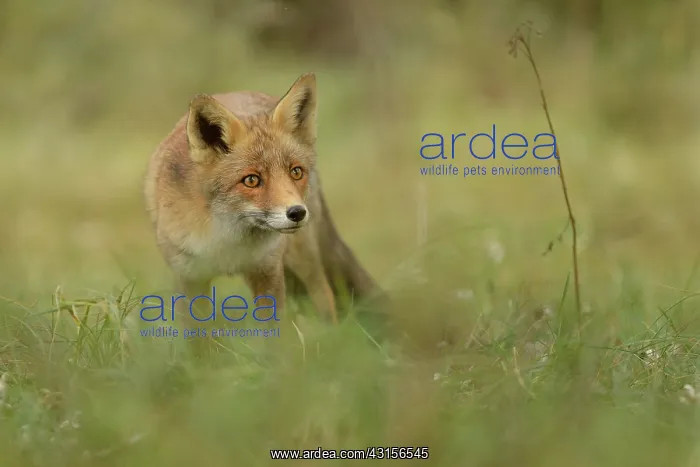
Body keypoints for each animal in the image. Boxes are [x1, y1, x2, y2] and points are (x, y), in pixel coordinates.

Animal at [143, 72, 382, 325]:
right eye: (251, 180)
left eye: (296, 172)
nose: (297, 212)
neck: (227, 244)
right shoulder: (189, 279)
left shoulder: (267, 272)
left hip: (300, 256)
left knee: (324, 294)